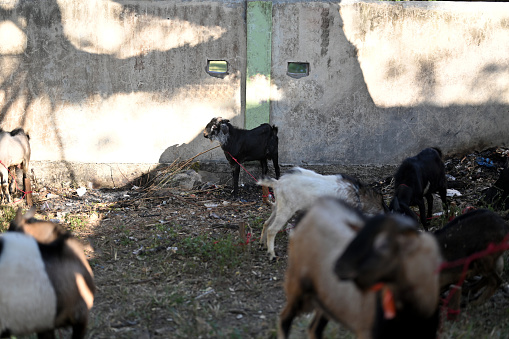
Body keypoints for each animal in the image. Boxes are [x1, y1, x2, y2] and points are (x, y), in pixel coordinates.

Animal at [256, 167, 386, 260]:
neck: (359, 196)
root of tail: (278, 183)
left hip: (278, 206)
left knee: (266, 223)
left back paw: (262, 244)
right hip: (286, 209)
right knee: (272, 229)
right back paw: (271, 254)